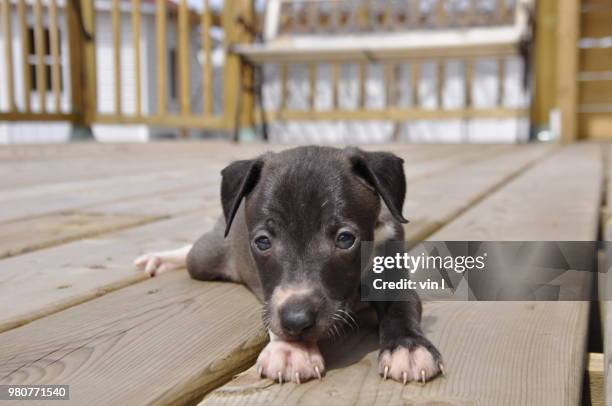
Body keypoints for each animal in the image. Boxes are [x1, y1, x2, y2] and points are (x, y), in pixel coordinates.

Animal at [134, 145, 442, 384]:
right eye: (262, 242)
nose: (296, 320)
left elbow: (401, 307)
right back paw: (161, 259)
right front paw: (290, 350)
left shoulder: (392, 273)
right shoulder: (273, 295)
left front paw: (408, 348)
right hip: (205, 259)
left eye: (345, 239)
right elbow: (272, 309)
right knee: (193, 252)